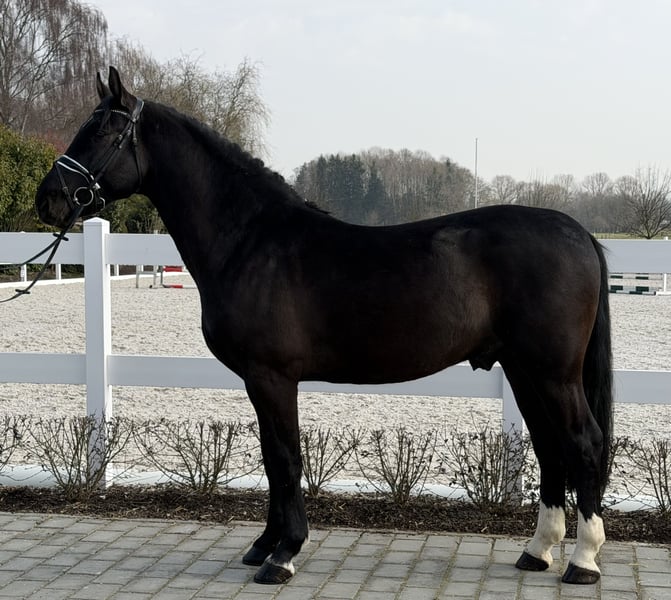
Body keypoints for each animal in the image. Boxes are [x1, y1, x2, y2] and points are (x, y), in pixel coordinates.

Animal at [36, 67, 613, 586]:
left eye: (103, 131)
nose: (49, 199)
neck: (250, 240)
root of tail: (579, 233)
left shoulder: (272, 377)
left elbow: (286, 459)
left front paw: (283, 555)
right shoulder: (258, 380)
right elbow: (272, 459)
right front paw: (264, 544)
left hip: (552, 373)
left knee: (583, 443)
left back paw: (582, 561)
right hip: (523, 369)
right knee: (550, 448)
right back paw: (537, 551)